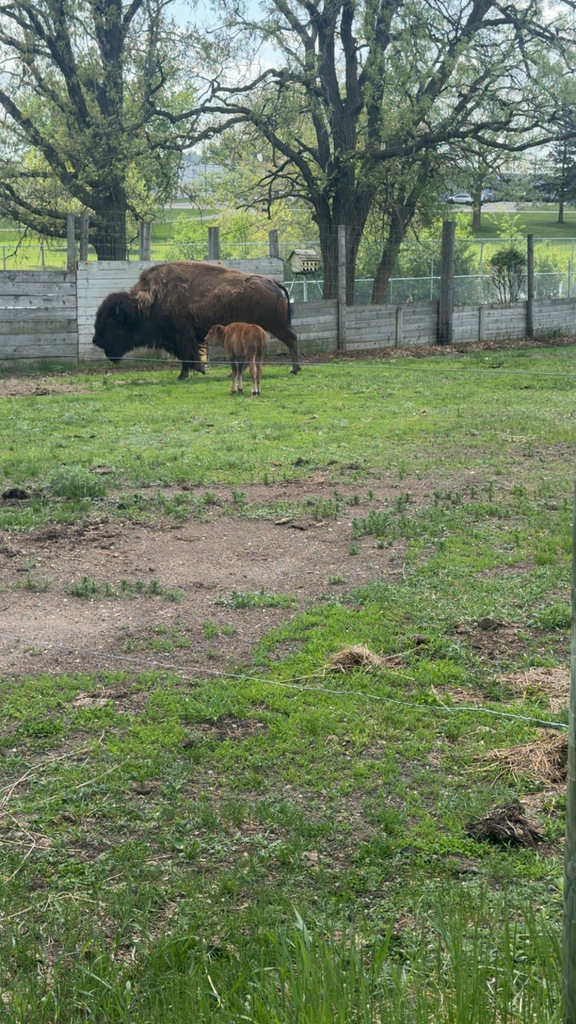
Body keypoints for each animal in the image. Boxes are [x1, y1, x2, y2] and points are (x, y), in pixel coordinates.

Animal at [92, 260, 300, 380]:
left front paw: (186, 375)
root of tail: (272, 282)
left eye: (110, 322)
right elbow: (187, 356)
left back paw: (294, 370)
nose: (95, 340)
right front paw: (196, 371)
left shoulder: (182, 336)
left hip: (275, 325)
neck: (150, 301)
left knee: (292, 339)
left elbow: (187, 356)